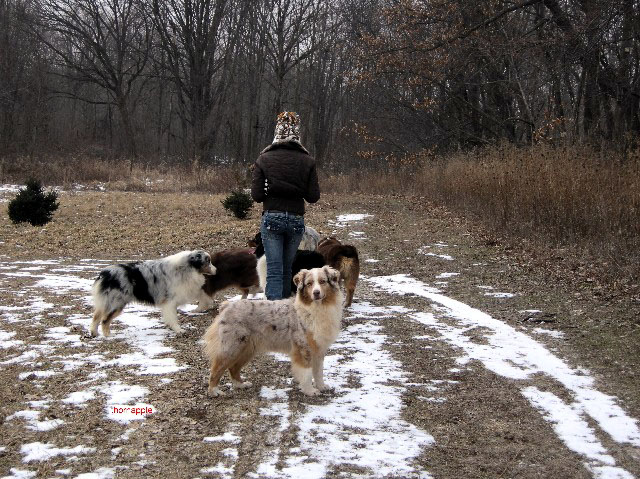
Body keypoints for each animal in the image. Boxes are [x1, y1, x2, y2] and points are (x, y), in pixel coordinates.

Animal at [203, 266, 343, 397]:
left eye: (323, 281)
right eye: (309, 284)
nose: (316, 293)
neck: (316, 308)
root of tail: (226, 306)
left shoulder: (319, 349)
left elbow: (319, 372)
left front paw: (322, 387)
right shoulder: (303, 348)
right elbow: (307, 373)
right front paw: (310, 391)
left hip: (247, 349)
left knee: (233, 368)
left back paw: (240, 385)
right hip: (231, 347)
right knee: (216, 369)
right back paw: (214, 391)